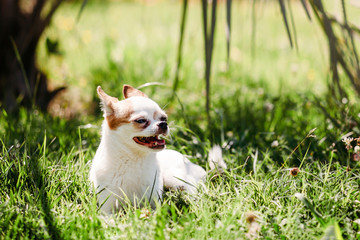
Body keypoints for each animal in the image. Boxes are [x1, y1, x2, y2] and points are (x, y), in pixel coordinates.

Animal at [89, 85, 225, 213]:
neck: (134, 159)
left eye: (164, 118)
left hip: (174, 178)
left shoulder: (154, 203)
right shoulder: (107, 209)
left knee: (196, 191)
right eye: (141, 120)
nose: (164, 124)